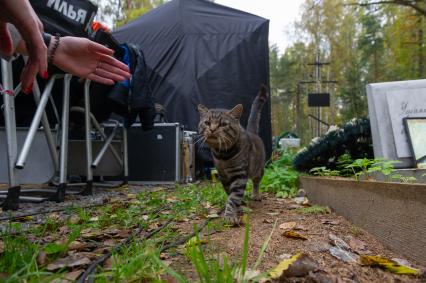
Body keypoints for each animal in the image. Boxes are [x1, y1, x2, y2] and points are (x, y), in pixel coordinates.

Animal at [198, 85, 268, 225]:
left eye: (223, 124)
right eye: (207, 123)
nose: (212, 129)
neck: (222, 155)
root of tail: (252, 132)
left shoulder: (239, 174)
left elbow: (234, 197)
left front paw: (230, 215)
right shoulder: (223, 175)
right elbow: (230, 193)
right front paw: (237, 207)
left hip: (259, 170)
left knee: (256, 183)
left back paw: (255, 195)